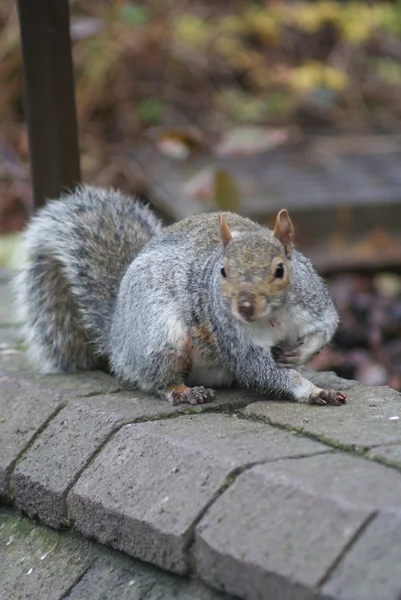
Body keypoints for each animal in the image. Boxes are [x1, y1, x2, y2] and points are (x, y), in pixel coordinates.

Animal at [13, 185, 346, 406]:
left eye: (280, 270)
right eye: (223, 271)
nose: (245, 307)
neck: (274, 316)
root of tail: (117, 334)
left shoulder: (313, 303)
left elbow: (326, 327)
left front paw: (303, 355)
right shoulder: (234, 337)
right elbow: (260, 370)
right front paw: (313, 390)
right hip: (159, 334)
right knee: (157, 379)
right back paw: (183, 391)